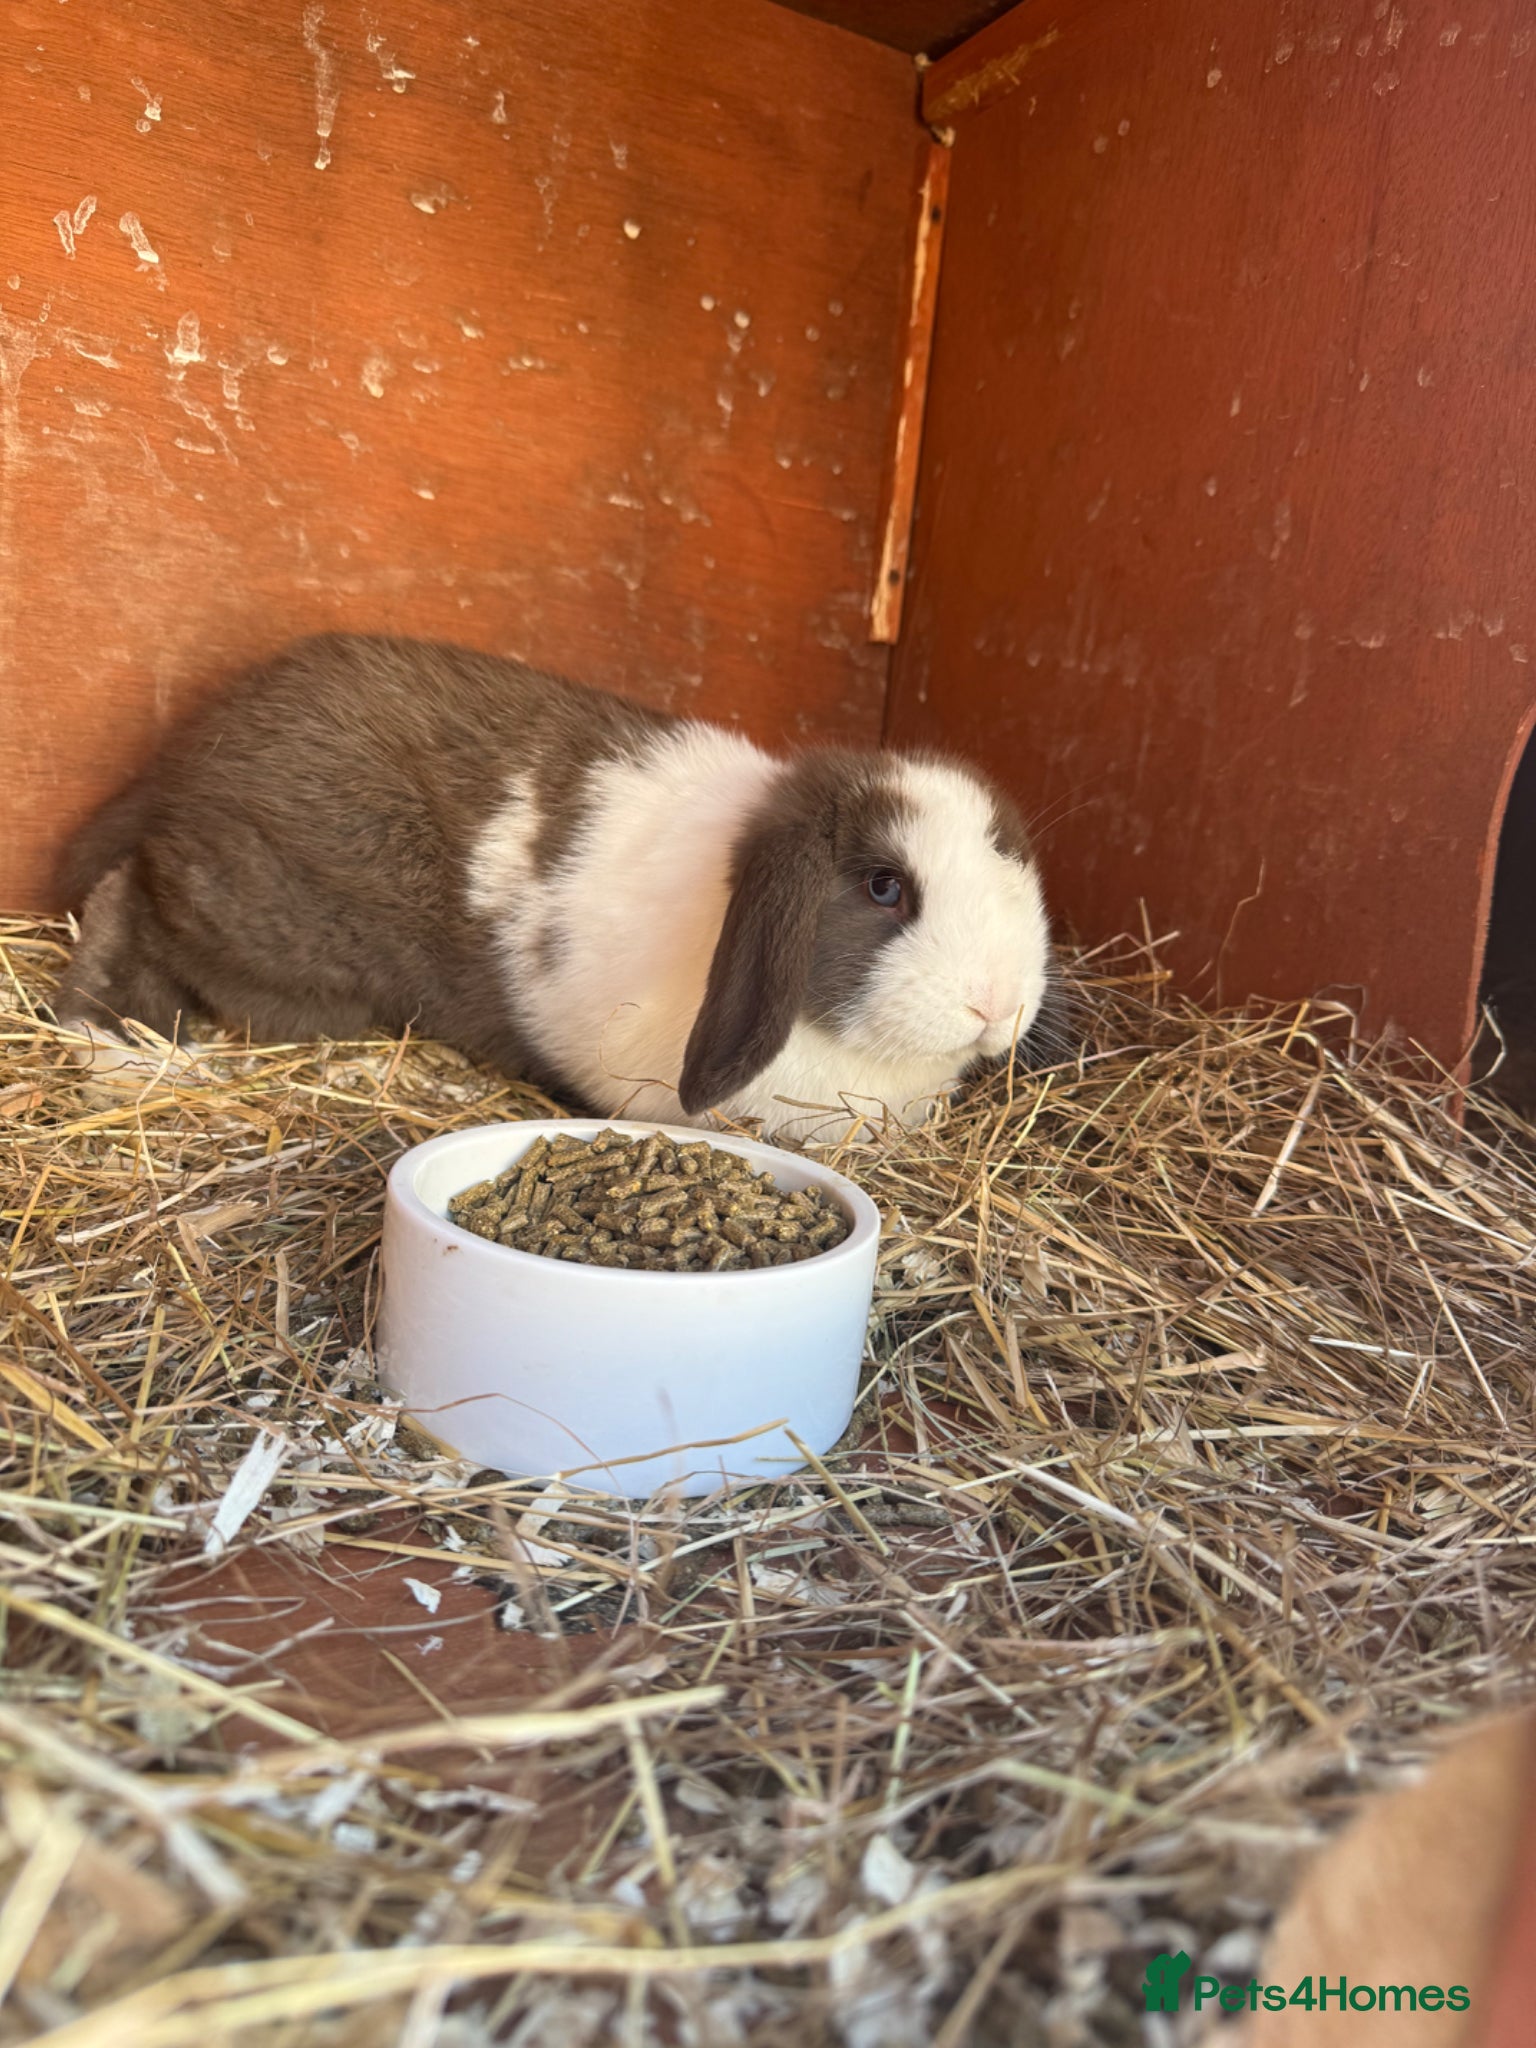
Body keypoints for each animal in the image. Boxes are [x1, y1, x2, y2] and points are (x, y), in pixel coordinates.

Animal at [56, 634, 1058, 1141]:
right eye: (886, 888)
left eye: (1008, 856)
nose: (997, 1003)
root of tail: (185, 756)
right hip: (269, 936)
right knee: (125, 906)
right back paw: (118, 1049)